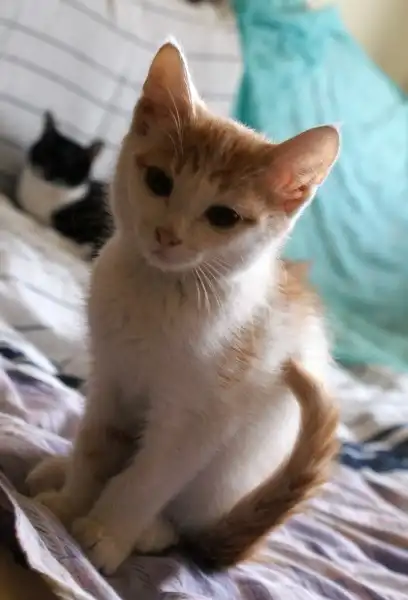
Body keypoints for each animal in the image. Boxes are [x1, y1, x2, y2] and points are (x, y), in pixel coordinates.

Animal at [27, 41, 340, 575]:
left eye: (223, 217)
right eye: (158, 180)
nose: (166, 234)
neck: (157, 292)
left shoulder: (199, 419)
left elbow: (148, 477)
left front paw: (107, 532)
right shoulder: (110, 376)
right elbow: (95, 445)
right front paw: (69, 503)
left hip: (232, 472)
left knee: (185, 526)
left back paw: (152, 532)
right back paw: (57, 468)